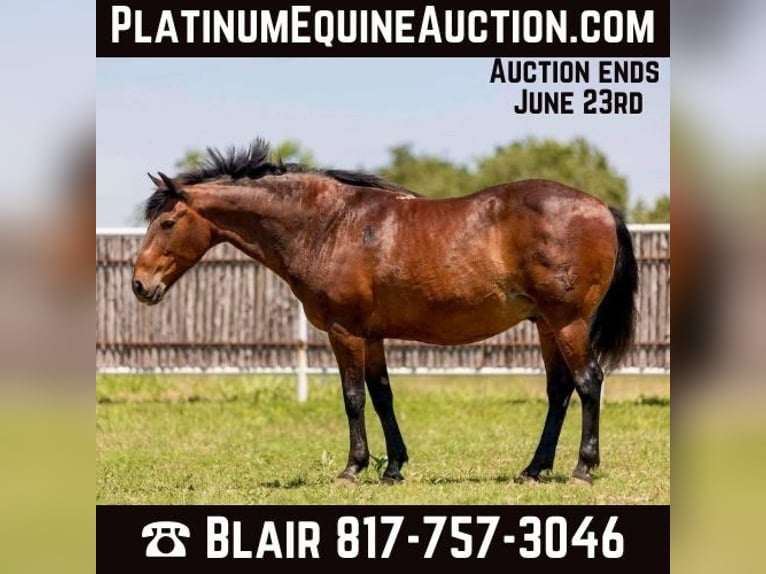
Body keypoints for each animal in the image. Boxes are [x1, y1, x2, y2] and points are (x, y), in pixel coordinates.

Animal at [132, 139, 638, 485]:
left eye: (168, 222)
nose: (140, 284)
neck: (328, 226)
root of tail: (600, 208)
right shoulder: (371, 335)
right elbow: (382, 396)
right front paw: (392, 467)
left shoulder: (345, 332)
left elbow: (353, 398)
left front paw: (353, 468)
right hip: (547, 326)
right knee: (559, 391)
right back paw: (533, 468)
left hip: (568, 322)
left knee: (588, 382)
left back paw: (583, 468)